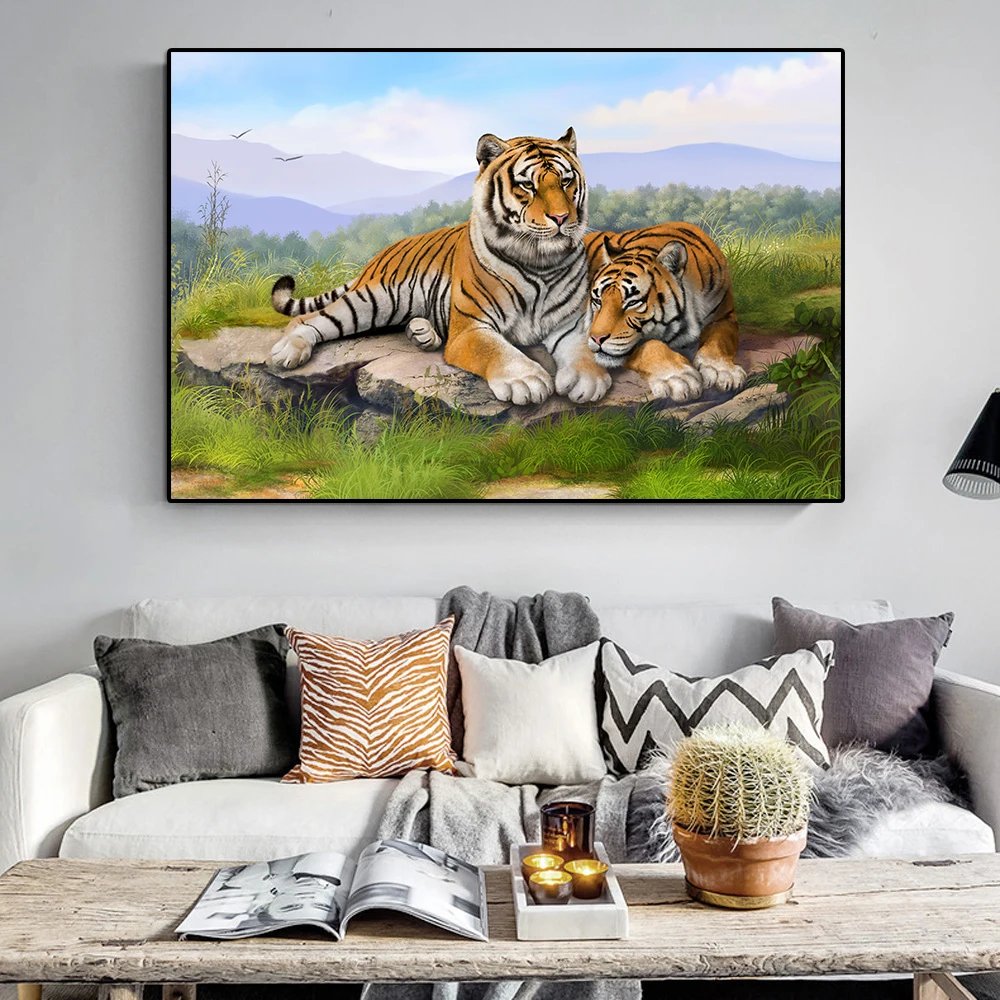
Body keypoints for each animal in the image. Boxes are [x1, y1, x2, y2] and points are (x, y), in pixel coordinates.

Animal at [268, 128, 610, 406]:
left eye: (565, 181)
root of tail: (380, 254)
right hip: (372, 301)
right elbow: (496, 350)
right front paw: (525, 380)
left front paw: (588, 380)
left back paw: (422, 333)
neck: (540, 263)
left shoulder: (571, 323)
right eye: (527, 185)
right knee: (308, 319)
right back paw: (287, 351)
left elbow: (584, 348)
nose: (561, 218)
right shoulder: (472, 327)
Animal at [580, 223, 746, 403]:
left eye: (632, 302)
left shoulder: (725, 316)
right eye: (598, 300)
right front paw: (679, 378)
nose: (596, 338)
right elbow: (651, 345)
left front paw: (721, 372)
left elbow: (719, 340)